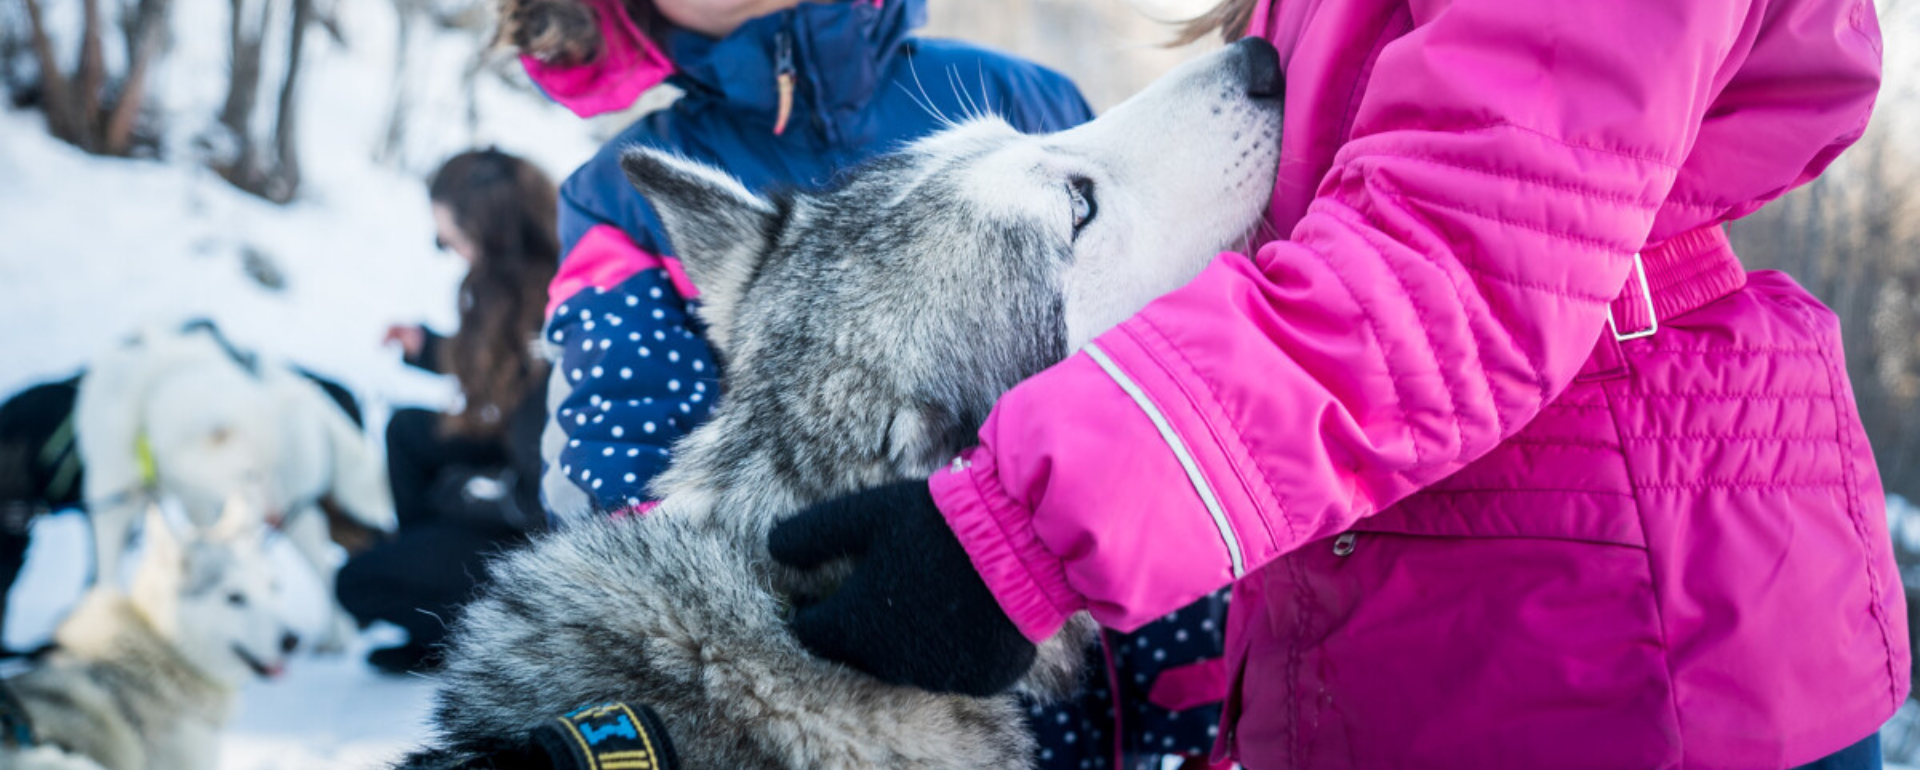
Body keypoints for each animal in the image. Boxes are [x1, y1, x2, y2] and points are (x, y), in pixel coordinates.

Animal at [69, 320, 395, 652]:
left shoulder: (205, 507)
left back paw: (337, 634)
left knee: (326, 569)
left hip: (298, 514)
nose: (274, 515)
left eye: (270, 467)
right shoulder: (113, 504)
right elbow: (108, 575)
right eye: (249, 474)